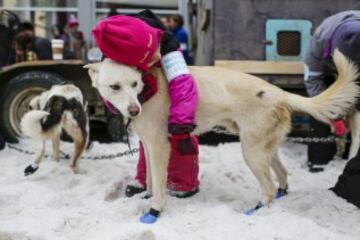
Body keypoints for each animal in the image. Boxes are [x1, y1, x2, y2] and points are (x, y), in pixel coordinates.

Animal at [84, 49, 358, 218]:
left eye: (134, 84)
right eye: (115, 87)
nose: (134, 109)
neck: (148, 90)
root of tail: (278, 92)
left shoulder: (160, 147)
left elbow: (160, 186)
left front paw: (155, 211)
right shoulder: (149, 147)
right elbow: (151, 180)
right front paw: (146, 198)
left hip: (251, 152)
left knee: (268, 186)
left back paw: (257, 212)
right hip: (264, 149)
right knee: (282, 174)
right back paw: (278, 198)